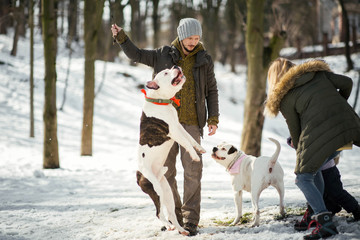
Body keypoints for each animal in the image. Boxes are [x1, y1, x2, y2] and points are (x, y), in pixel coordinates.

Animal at [136, 66, 205, 236]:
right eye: (166, 73)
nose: (176, 67)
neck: (160, 101)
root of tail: (139, 175)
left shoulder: (179, 126)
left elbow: (190, 139)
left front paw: (200, 148)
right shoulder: (173, 131)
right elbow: (186, 143)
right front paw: (194, 156)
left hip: (166, 191)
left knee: (171, 213)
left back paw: (180, 229)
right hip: (157, 190)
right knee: (159, 213)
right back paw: (170, 226)